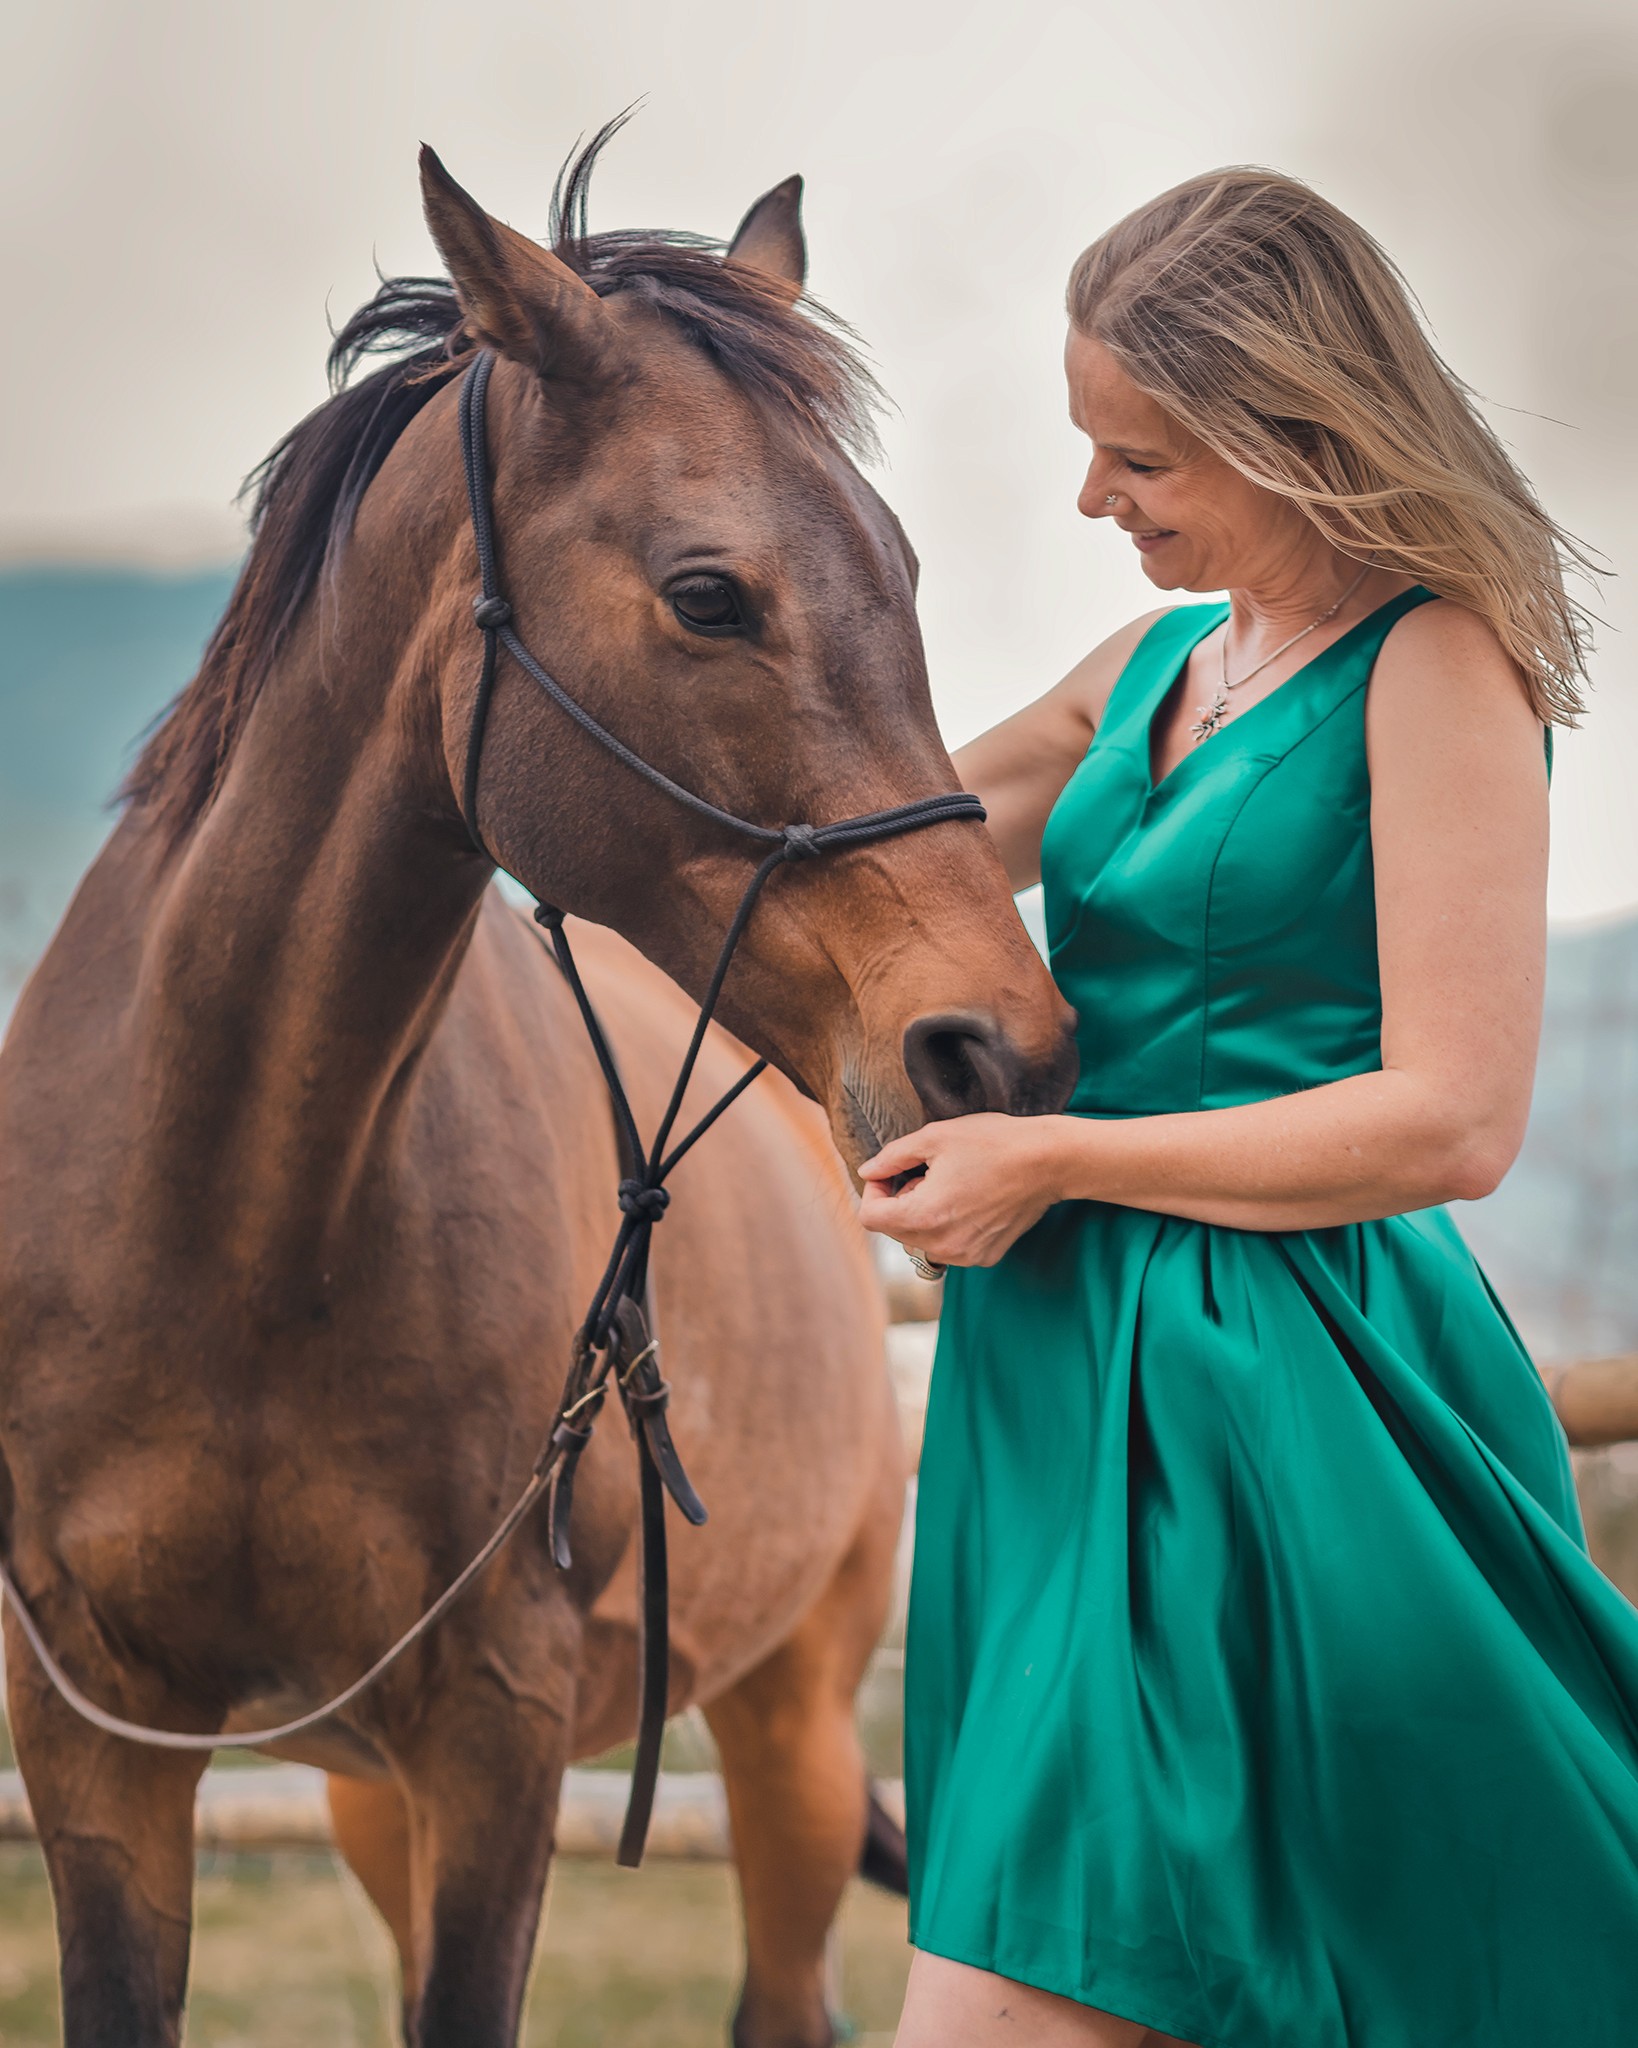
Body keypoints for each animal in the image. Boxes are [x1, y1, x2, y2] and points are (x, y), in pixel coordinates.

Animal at [0, 132, 1072, 2048]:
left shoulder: (490, 1741)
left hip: (789, 1735)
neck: (229, 1227)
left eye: (903, 568)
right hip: (367, 1796)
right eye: (708, 593)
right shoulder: (100, 1740)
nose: (997, 1055)